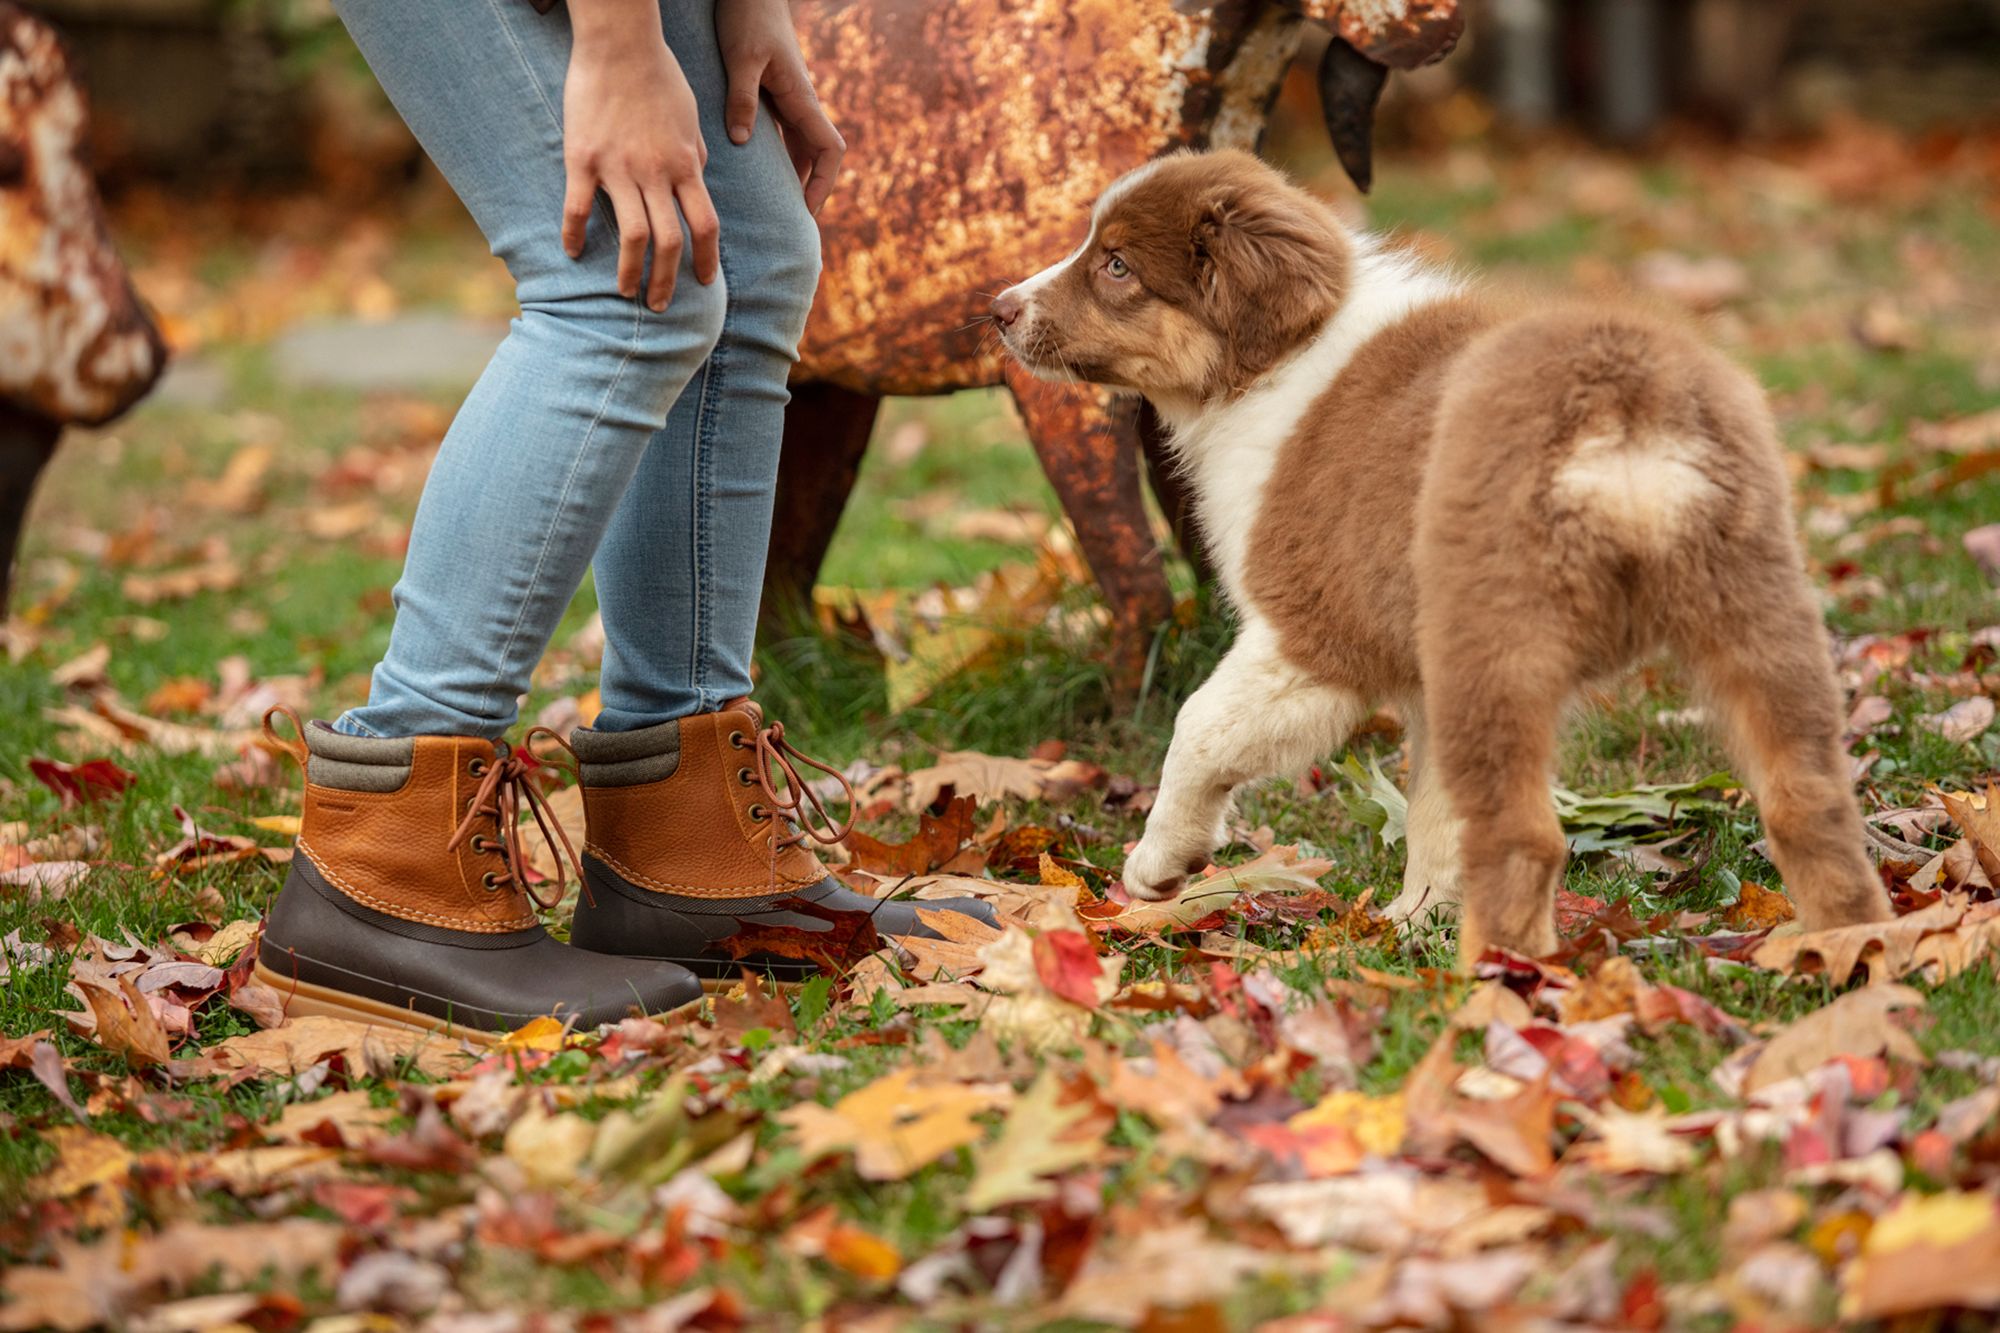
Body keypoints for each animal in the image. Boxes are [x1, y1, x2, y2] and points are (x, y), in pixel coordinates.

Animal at [992, 150, 1896, 960]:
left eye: (1115, 266)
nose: (996, 308)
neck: (1274, 365)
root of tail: (1618, 406)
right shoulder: (1424, 677)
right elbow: (1433, 811)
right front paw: (1411, 920)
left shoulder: (1312, 632)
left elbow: (1199, 726)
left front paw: (1158, 865)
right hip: (1757, 605)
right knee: (1811, 800)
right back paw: (1851, 952)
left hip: (1499, 641)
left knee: (1528, 838)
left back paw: (1494, 985)